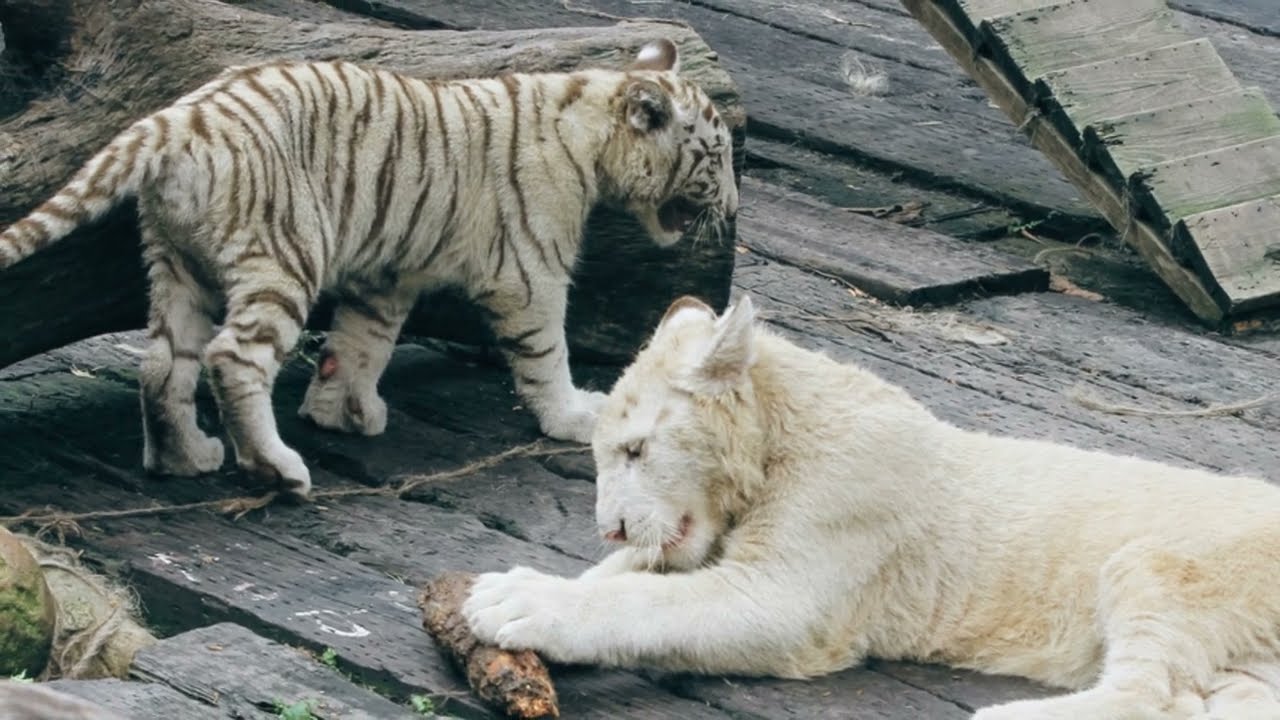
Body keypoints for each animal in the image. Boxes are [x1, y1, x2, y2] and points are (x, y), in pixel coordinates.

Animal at [0, 39, 738, 498]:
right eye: (717, 158)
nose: (732, 205)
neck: (589, 112)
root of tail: (181, 119)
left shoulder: (386, 274)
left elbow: (361, 344)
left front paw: (342, 413)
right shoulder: (530, 272)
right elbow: (544, 355)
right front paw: (574, 417)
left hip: (178, 263)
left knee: (162, 364)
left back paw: (187, 459)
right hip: (285, 256)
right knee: (232, 358)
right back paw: (277, 469)